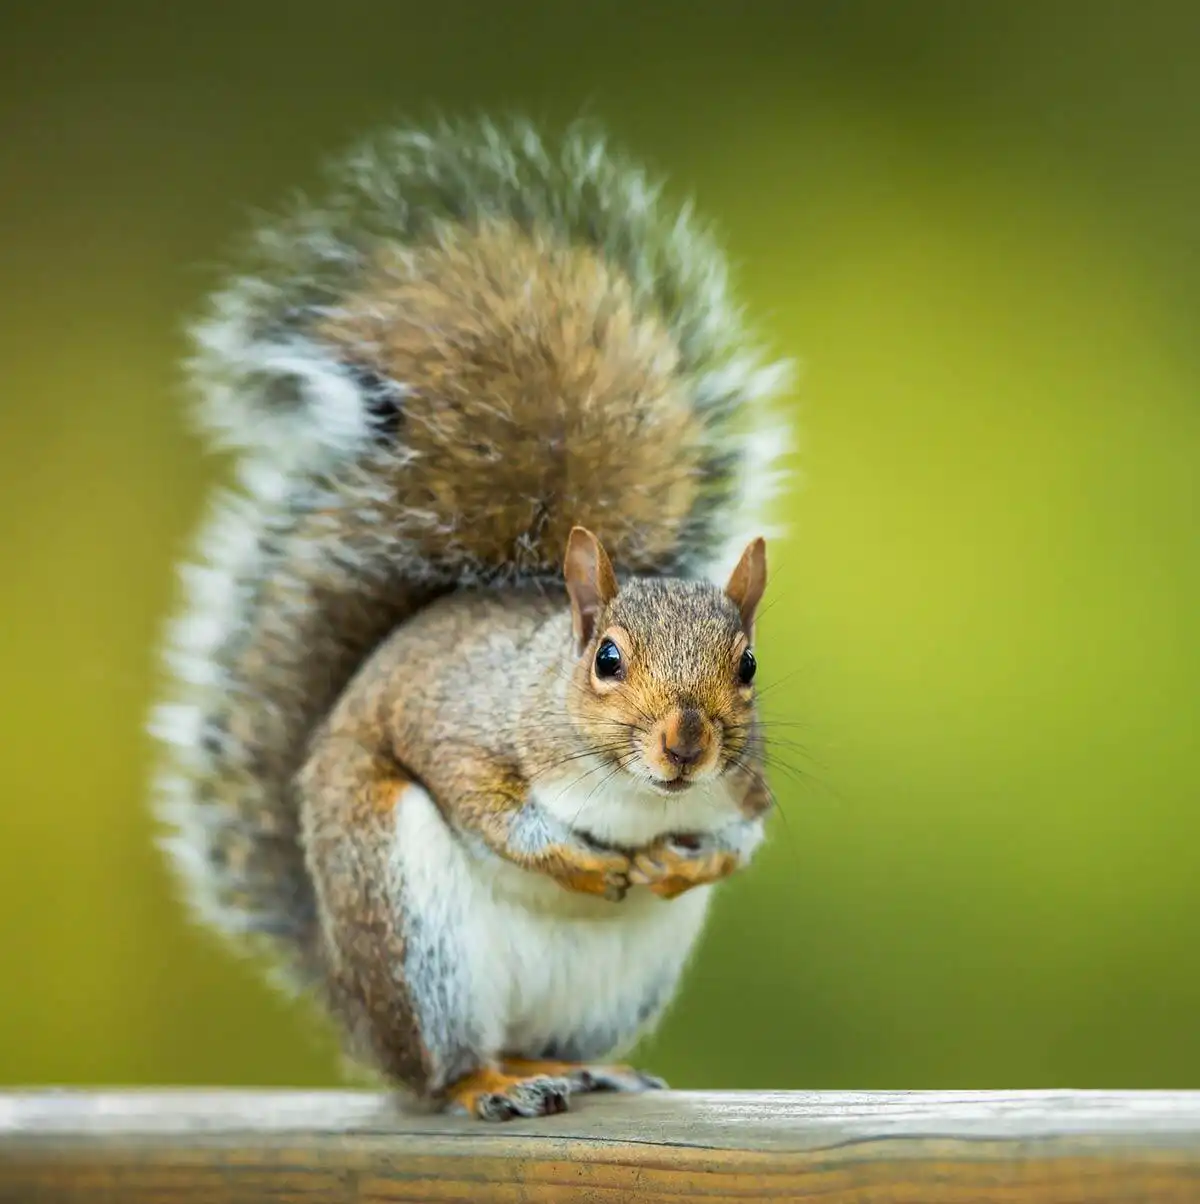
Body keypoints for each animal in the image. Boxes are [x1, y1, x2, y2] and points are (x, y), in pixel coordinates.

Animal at [151, 118, 792, 1120]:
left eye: (749, 666)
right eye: (607, 660)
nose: (687, 746)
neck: (636, 793)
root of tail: (347, 996)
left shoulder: (746, 787)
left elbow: (741, 839)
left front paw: (681, 864)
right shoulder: (461, 726)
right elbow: (490, 809)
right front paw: (583, 864)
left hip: (611, 987)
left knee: (543, 1042)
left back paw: (577, 1069)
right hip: (411, 932)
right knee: (440, 1068)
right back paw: (488, 1084)